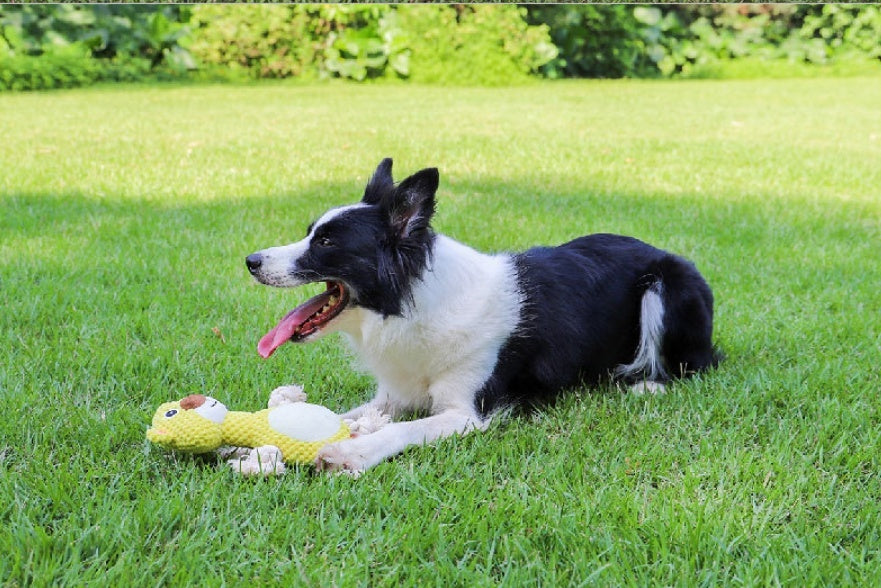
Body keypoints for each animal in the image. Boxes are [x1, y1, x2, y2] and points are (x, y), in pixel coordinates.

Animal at [244, 158, 720, 476]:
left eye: (326, 242)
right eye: (311, 233)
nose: (250, 261)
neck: (417, 304)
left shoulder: (466, 413)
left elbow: (401, 431)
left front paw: (352, 453)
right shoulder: (395, 394)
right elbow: (342, 415)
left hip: (666, 286)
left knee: (696, 363)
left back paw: (647, 385)